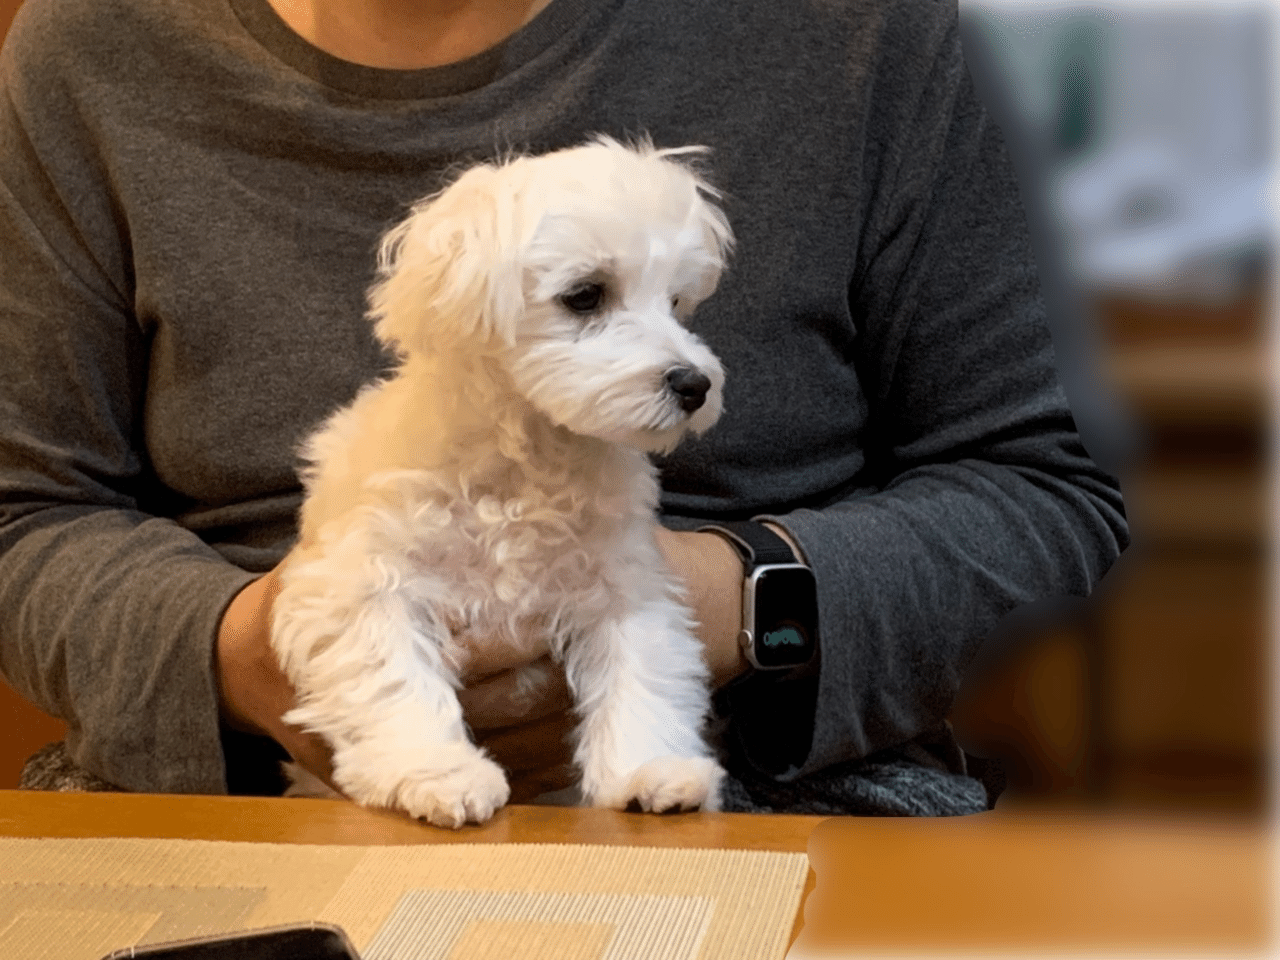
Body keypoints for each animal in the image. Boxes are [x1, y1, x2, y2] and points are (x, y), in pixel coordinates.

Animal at [270, 135, 732, 829]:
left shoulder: (621, 587)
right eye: (585, 295)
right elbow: (394, 677)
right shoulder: (365, 584)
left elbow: (641, 673)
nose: (694, 383)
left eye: (676, 302)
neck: (526, 463)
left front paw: (646, 770)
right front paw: (436, 772)